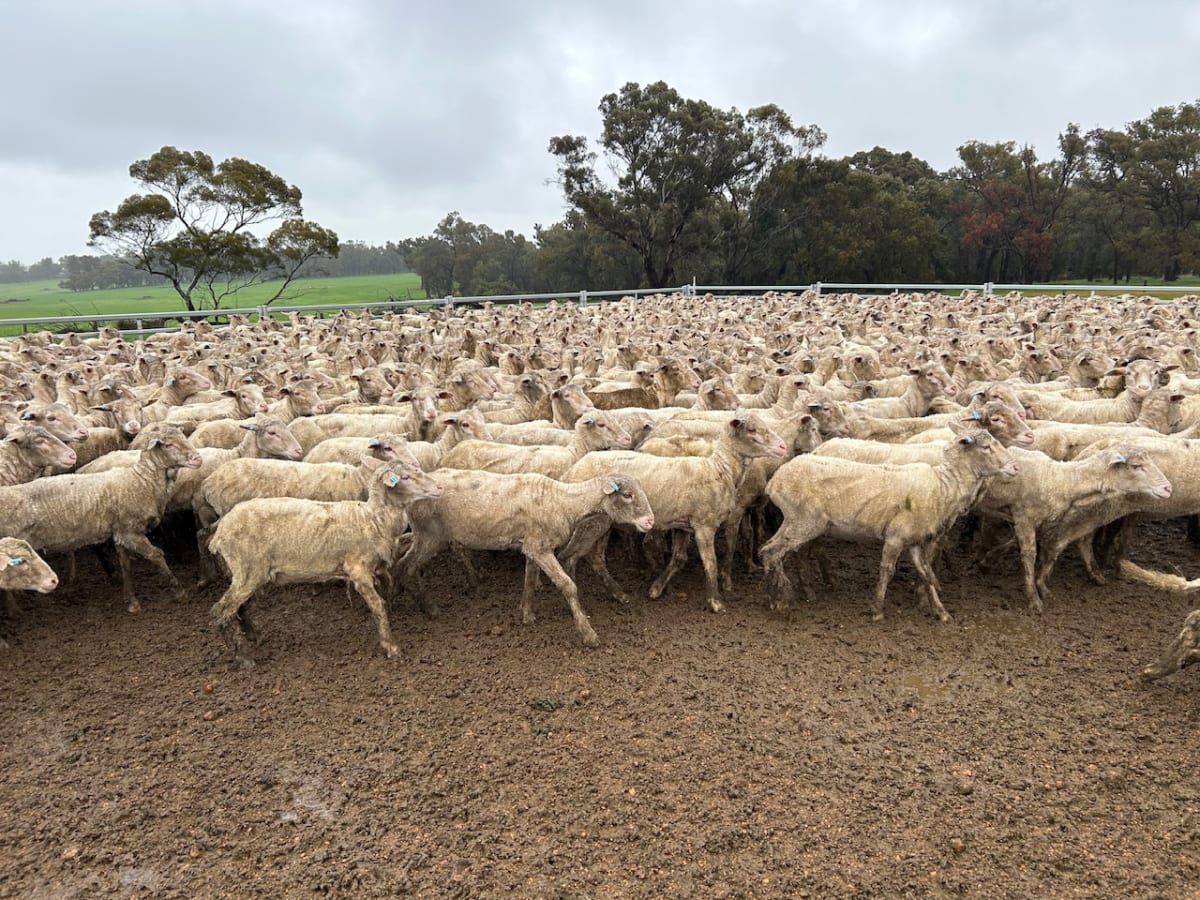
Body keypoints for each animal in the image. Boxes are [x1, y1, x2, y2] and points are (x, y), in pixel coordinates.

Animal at [0, 423, 201, 612]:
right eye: (168, 444)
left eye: (184, 437)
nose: (198, 458)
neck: (142, 481)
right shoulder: (131, 531)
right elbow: (157, 555)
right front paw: (179, 591)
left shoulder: (120, 533)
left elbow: (126, 565)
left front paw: (131, 601)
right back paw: (15, 610)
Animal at [208, 459, 443, 667]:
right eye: (405, 477)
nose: (439, 487)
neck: (373, 519)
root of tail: (219, 532)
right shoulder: (358, 571)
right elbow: (378, 605)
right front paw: (391, 646)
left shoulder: (378, 567)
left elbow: (388, 587)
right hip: (248, 569)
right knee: (222, 610)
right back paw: (243, 657)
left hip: (251, 573)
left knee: (239, 606)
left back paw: (254, 635)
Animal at [398, 470, 654, 647]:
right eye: (628, 495)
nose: (650, 521)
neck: (564, 502)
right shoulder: (540, 548)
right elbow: (568, 586)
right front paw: (588, 633)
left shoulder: (532, 547)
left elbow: (530, 580)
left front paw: (527, 614)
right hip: (430, 535)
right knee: (406, 566)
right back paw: (427, 605)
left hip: (426, 535)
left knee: (404, 559)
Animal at [560, 413, 788, 613]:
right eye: (751, 430)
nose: (783, 446)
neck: (720, 469)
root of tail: (573, 469)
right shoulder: (704, 526)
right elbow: (711, 564)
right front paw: (715, 602)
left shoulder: (683, 525)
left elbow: (679, 559)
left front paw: (656, 589)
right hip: (592, 522)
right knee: (577, 556)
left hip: (604, 523)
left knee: (592, 558)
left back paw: (617, 594)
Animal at [759, 427, 1019, 622]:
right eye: (986, 447)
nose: (1015, 467)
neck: (944, 486)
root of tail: (776, 480)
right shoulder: (895, 537)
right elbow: (887, 570)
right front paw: (877, 610)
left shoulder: (915, 542)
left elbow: (926, 573)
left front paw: (941, 612)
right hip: (805, 521)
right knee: (772, 552)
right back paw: (779, 599)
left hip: (800, 522)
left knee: (776, 550)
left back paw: (791, 594)